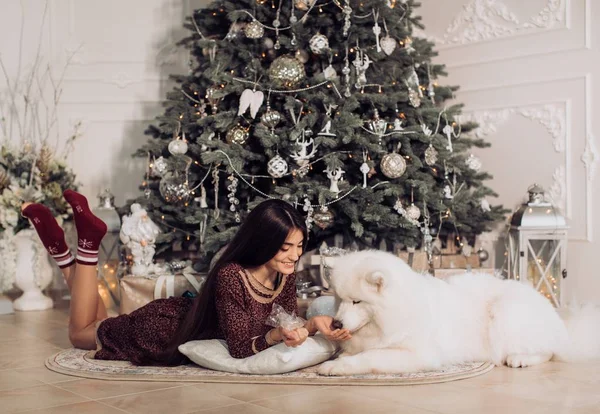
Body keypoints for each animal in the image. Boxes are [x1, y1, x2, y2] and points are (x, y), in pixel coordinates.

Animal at [316, 247, 596, 376]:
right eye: (339, 298)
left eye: (357, 301)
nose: (336, 324)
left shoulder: (418, 354)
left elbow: (369, 357)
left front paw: (335, 367)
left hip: (506, 313)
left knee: (549, 350)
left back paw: (521, 358)